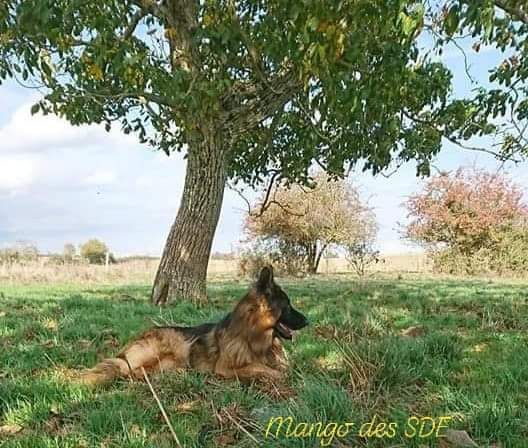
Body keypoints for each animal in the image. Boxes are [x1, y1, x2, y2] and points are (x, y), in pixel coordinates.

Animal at [80, 266, 308, 384]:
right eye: (288, 306)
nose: (308, 321)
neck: (252, 337)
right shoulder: (225, 368)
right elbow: (264, 369)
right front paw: (283, 377)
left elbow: (284, 367)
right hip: (178, 345)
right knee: (132, 372)